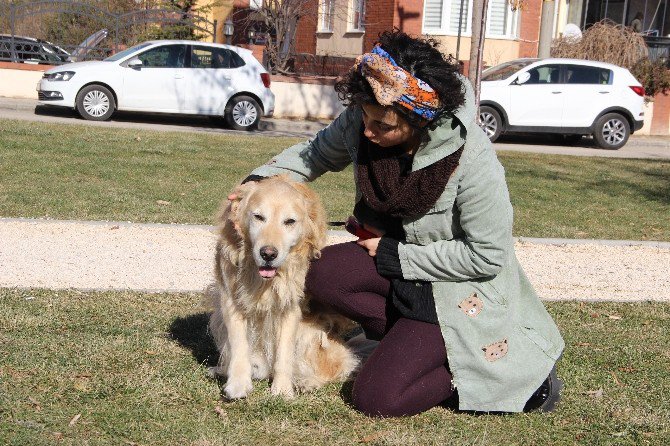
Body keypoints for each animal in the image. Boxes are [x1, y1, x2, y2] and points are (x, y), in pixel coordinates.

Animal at [207, 176, 360, 398]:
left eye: (289, 221)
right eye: (258, 217)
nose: (268, 254)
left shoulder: (290, 308)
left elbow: (284, 354)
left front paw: (282, 389)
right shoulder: (231, 301)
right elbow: (239, 346)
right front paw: (238, 383)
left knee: (337, 367)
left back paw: (307, 382)